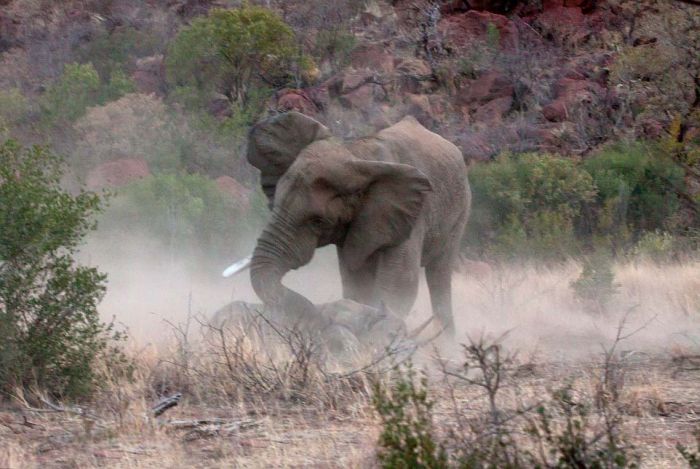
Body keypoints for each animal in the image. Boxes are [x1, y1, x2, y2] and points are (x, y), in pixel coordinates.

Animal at [246, 110, 470, 336]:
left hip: (460, 211)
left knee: (439, 275)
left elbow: (401, 284)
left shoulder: (411, 213)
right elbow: (356, 281)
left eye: (318, 221)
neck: (357, 155)